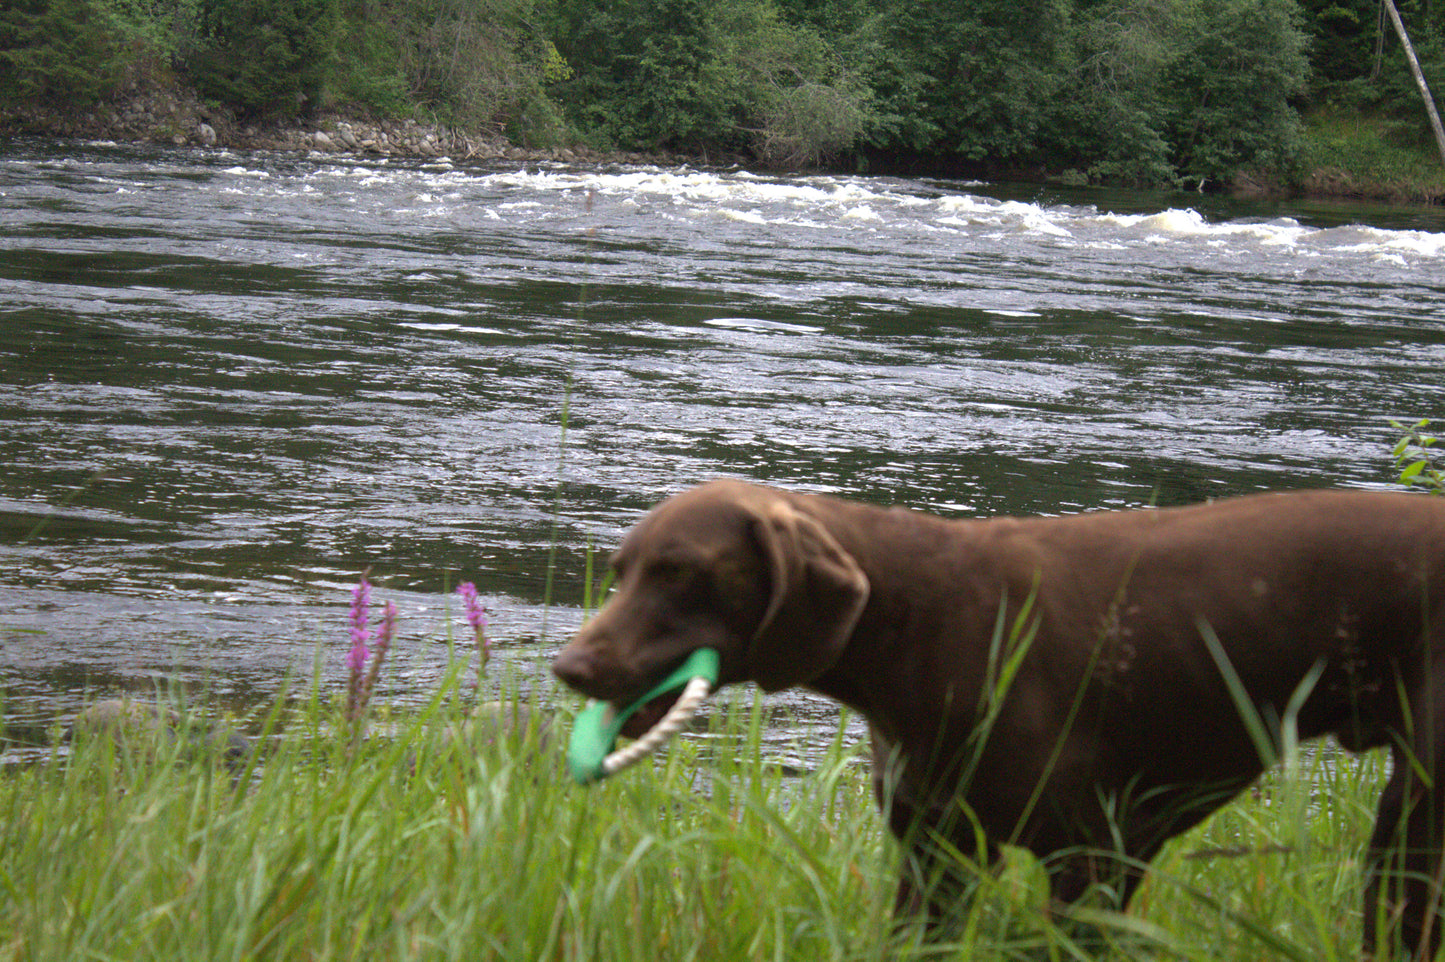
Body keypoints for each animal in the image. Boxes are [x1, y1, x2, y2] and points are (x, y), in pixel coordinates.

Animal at [549, 479, 1445, 953]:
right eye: (623, 569)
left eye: (680, 571)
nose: (571, 668)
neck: (918, 626)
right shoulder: (933, 859)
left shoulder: (1091, 861)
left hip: (1416, 812)